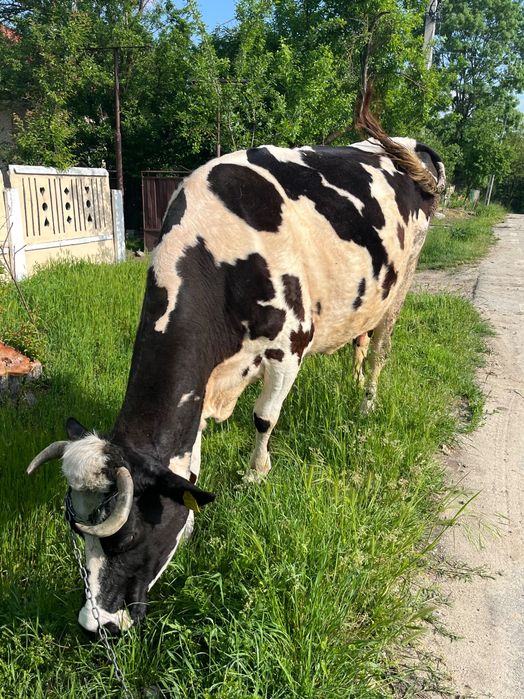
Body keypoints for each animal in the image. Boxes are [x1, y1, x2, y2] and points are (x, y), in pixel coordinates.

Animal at [26, 95, 445, 635]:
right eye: (81, 537)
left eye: (126, 537)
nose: (95, 625)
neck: (220, 254)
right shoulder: (207, 382)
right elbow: (192, 452)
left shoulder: (289, 346)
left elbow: (264, 418)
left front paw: (255, 476)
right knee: (360, 340)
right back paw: (353, 384)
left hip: (402, 284)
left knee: (380, 349)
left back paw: (367, 403)